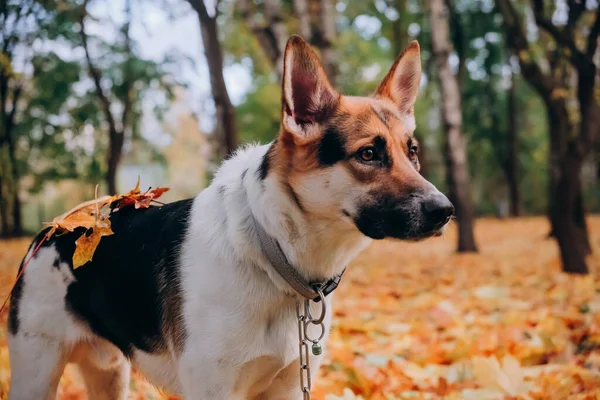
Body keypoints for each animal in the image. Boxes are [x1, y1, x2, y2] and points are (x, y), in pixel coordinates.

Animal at [7, 36, 452, 398]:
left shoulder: (289, 386)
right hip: (36, 373)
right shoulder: (214, 387)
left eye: (412, 152)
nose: (445, 211)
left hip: (110, 375)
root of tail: (55, 230)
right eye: (368, 154)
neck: (272, 251)